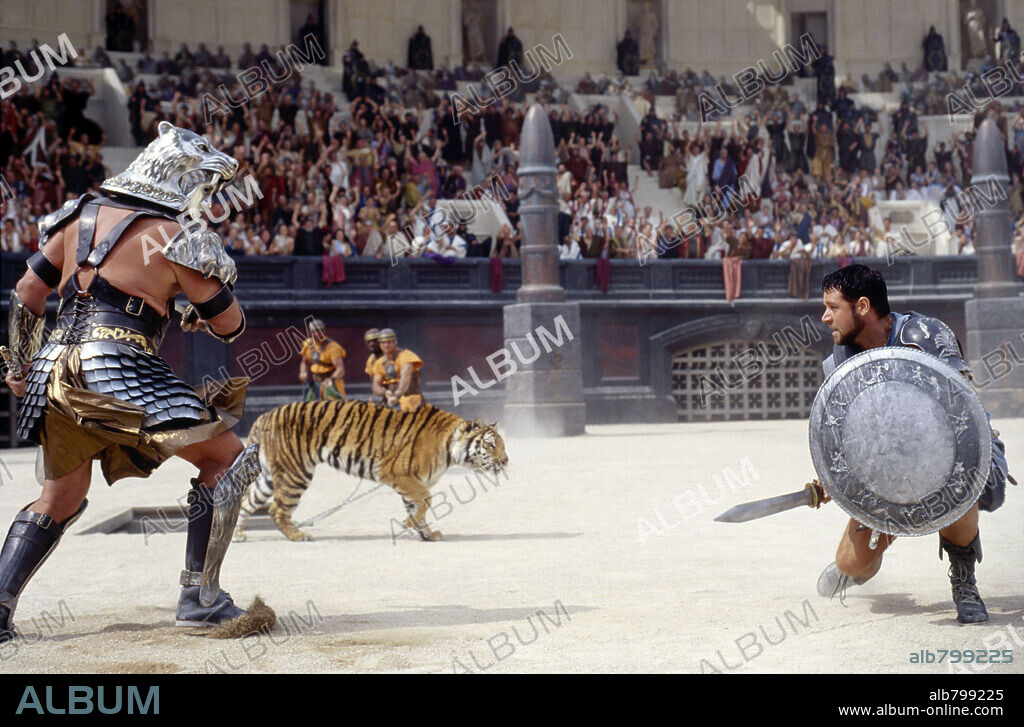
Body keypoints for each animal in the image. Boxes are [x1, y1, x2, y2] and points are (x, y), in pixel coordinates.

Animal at [231, 401, 503, 544]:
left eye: (502, 445)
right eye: (491, 445)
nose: (506, 460)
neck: (451, 449)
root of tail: (263, 416)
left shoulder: (410, 482)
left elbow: (418, 507)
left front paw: (427, 534)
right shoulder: (397, 472)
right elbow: (426, 500)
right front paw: (409, 525)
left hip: (268, 477)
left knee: (245, 501)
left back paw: (238, 535)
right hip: (295, 473)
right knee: (277, 510)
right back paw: (298, 535)